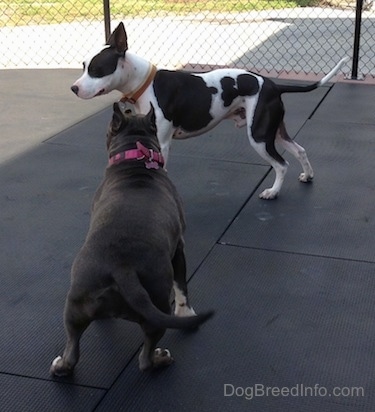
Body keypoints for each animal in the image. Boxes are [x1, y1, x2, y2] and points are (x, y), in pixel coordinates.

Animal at [50, 104, 214, 376]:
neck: (136, 161)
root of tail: (122, 267)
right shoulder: (179, 249)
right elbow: (181, 286)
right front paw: (186, 313)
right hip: (157, 305)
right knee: (145, 359)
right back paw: (160, 358)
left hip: (75, 305)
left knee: (72, 348)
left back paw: (62, 365)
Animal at [72, 22, 350, 200]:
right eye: (84, 66)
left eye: (97, 70)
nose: (74, 88)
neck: (145, 83)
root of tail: (272, 84)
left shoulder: (162, 143)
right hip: (273, 130)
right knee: (299, 150)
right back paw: (308, 175)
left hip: (259, 137)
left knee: (281, 165)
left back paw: (273, 192)